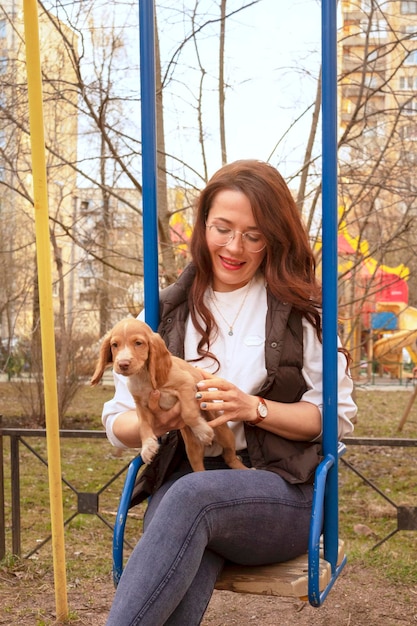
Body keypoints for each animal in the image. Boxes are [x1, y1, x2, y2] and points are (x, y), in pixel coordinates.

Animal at [91, 316, 247, 468]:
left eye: (138, 343)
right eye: (114, 345)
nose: (123, 364)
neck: (143, 376)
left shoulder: (186, 384)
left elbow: (188, 413)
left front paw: (203, 430)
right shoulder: (140, 404)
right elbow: (143, 425)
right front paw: (147, 447)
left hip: (224, 433)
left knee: (229, 456)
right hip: (192, 449)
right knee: (198, 467)